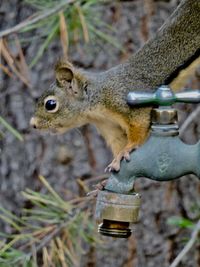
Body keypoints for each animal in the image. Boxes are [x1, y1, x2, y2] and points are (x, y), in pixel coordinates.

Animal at [29, 0, 200, 174]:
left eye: (51, 104)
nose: (33, 125)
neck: (97, 101)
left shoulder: (125, 102)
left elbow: (138, 128)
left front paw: (128, 148)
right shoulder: (108, 127)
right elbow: (118, 142)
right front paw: (116, 160)